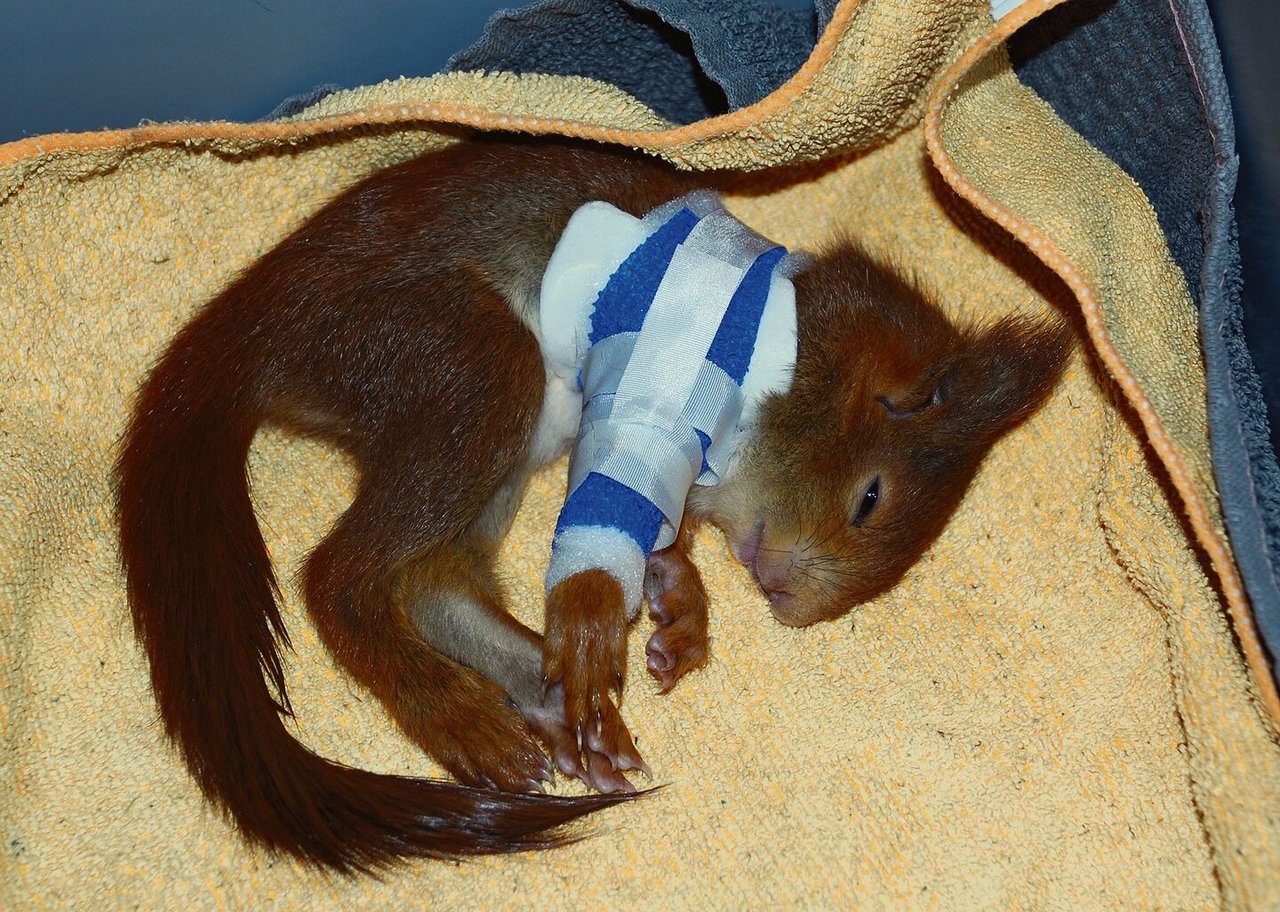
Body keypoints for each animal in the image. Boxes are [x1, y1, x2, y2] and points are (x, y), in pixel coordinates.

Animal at [116, 135, 1071, 873]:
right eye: (870, 496)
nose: (789, 600)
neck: (790, 353)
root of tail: (250, 329)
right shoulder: (659, 377)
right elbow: (612, 501)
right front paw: (592, 618)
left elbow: (662, 538)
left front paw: (680, 612)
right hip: (459, 357)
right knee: (340, 576)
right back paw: (461, 711)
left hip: (514, 423)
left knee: (429, 581)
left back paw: (548, 706)